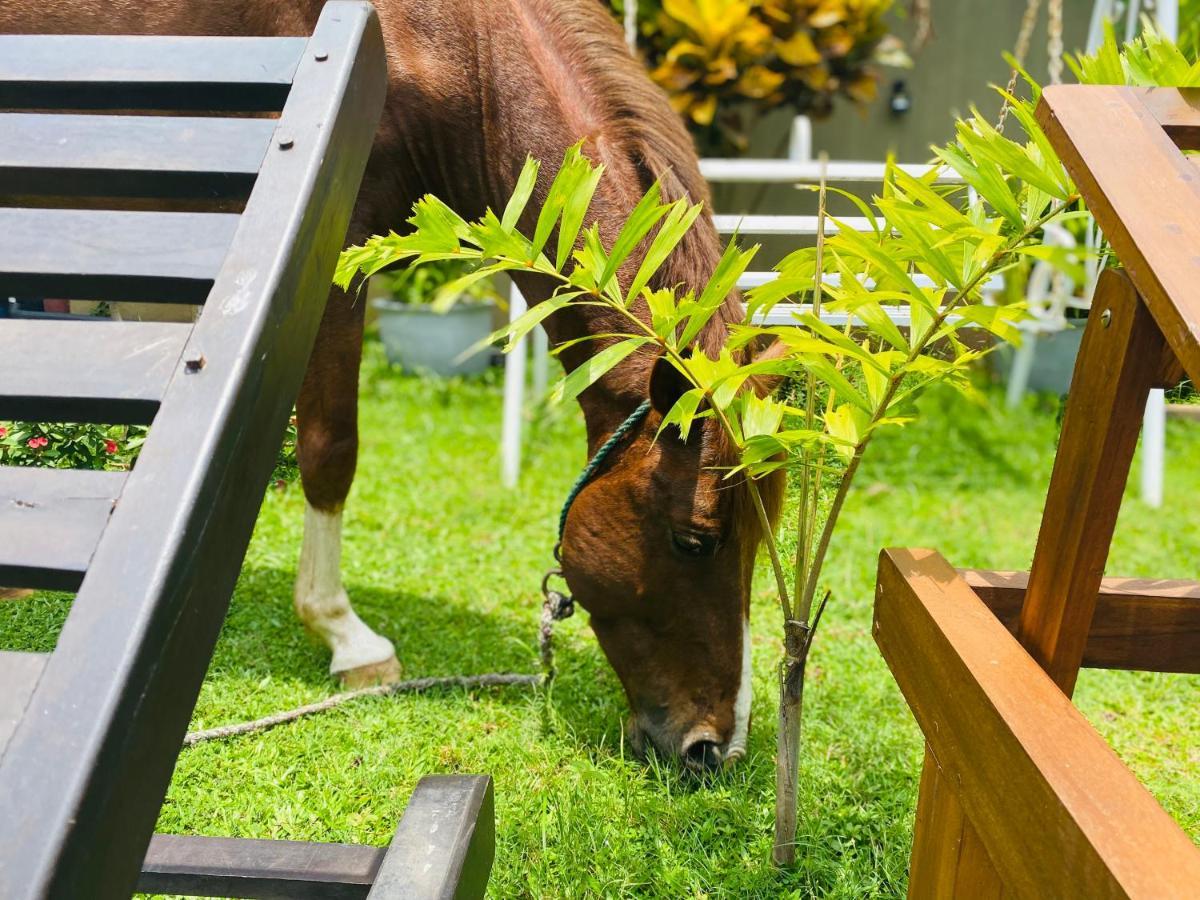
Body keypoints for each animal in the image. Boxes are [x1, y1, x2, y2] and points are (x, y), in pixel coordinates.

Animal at [9, 1, 787, 777]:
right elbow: (330, 448)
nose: (716, 749)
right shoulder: (331, 257)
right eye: (695, 542)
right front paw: (344, 635)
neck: (450, 46)